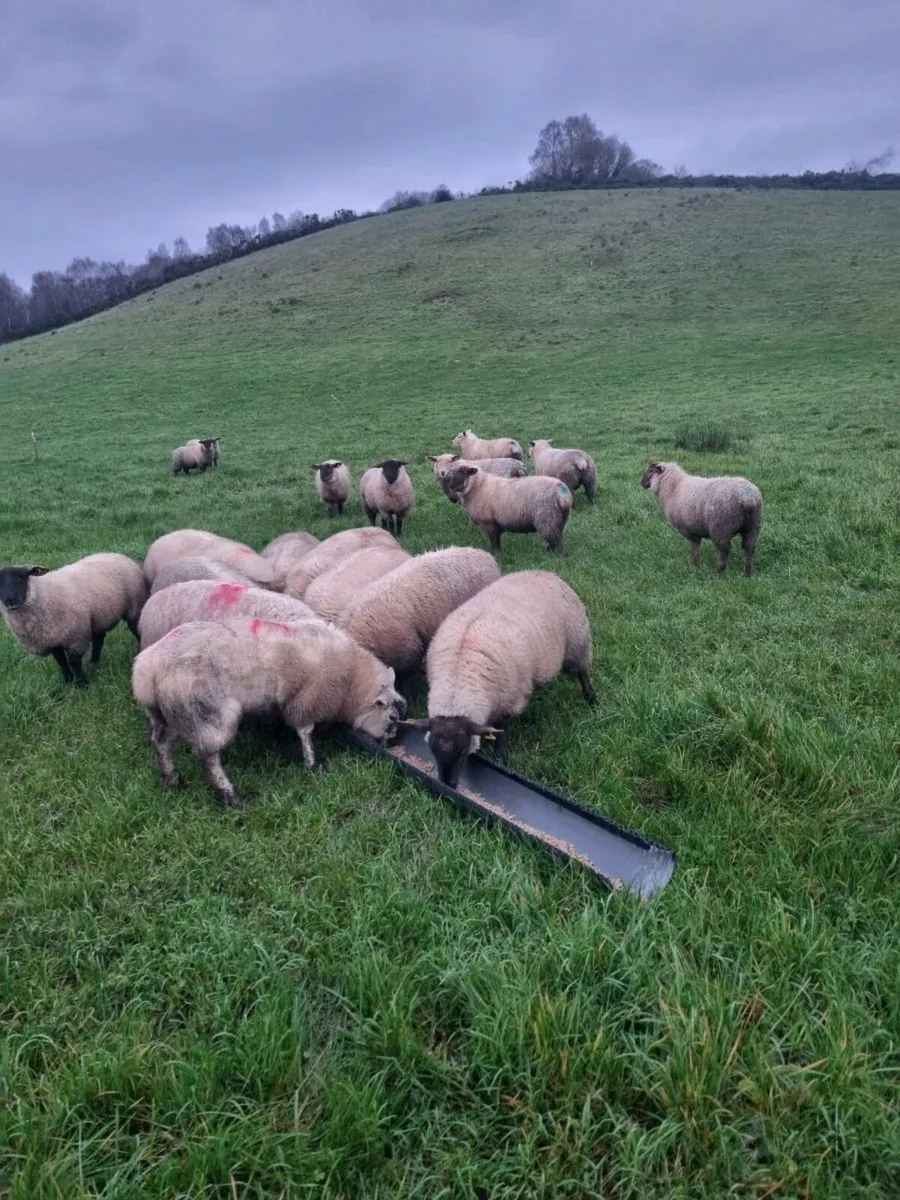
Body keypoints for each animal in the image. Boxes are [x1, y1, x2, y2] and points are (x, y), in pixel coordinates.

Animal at [0, 552, 148, 686]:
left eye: (21, 580)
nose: (10, 601)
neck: (42, 594)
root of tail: (117, 554)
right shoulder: (52, 640)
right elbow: (61, 661)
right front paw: (68, 681)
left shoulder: (76, 637)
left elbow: (73, 662)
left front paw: (82, 685)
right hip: (99, 615)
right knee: (99, 639)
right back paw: (94, 661)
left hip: (134, 606)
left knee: (136, 630)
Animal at [132, 615, 406, 807]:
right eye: (392, 717)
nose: (393, 742)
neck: (351, 678)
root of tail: (146, 668)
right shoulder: (308, 699)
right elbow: (305, 731)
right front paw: (313, 764)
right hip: (209, 713)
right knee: (208, 758)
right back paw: (231, 796)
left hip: (167, 714)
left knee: (160, 742)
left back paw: (172, 779)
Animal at [401, 570, 596, 786]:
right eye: (432, 751)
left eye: (462, 751)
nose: (448, 783)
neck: (457, 680)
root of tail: (545, 573)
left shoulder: (509, 701)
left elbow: (502, 736)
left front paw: (501, 761)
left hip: (577, 643)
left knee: (583, 672)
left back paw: (592, 701)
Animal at [443, 463, 573, 555]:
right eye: (451, 472)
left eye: (464, 472)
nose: (452, 487)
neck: (478, 487)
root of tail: (563, 494)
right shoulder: (495, 523)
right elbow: (497, 540)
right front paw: (500, 553)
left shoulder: (489, 522)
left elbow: (494, 541)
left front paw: (495, 555)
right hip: (561, 519)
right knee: (556, 538)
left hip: (546, 517)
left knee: (557, 541)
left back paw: (558, 557)